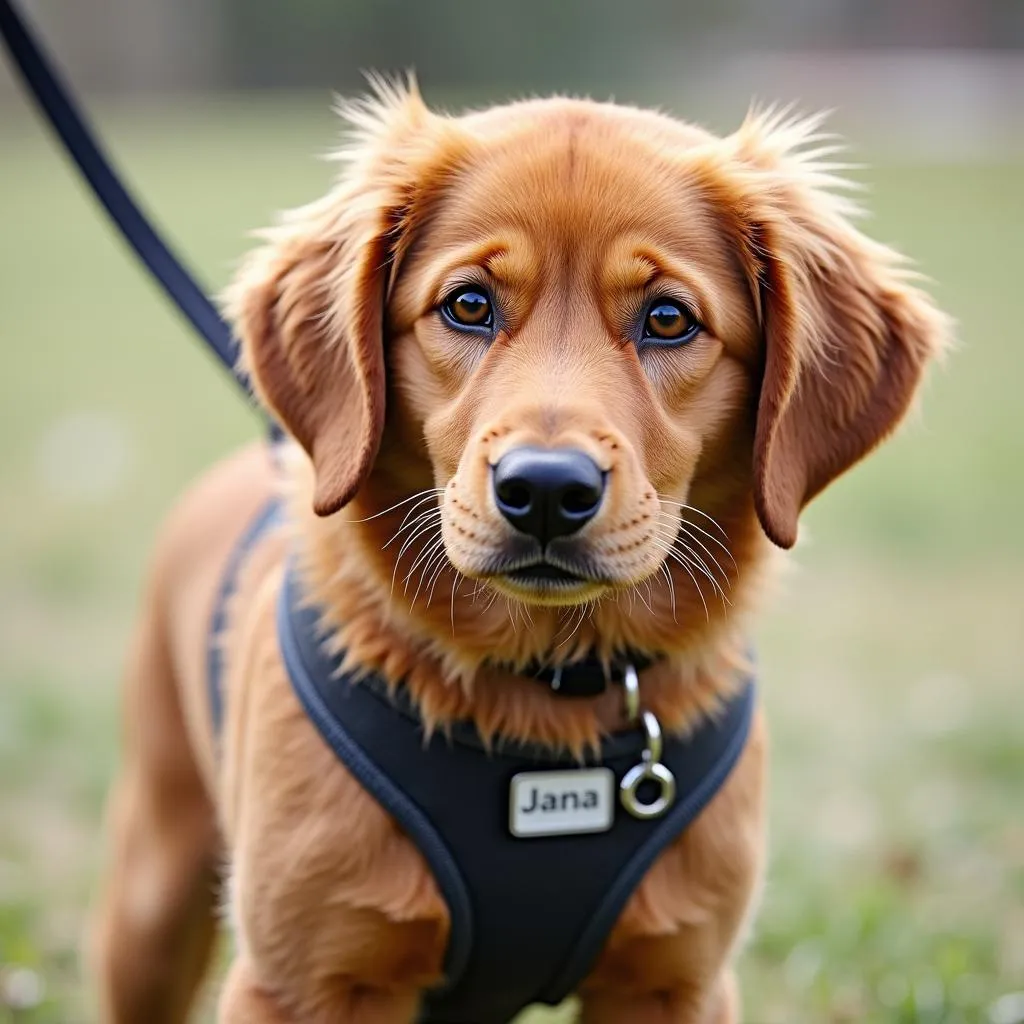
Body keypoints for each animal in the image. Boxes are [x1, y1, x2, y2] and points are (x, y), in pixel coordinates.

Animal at [92, 81, 946, 1024]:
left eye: (668, 319)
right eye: (468, 305)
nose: (543, 490)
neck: (545, 693)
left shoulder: (674, 983)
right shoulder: (301, 981)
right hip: (151, 893)